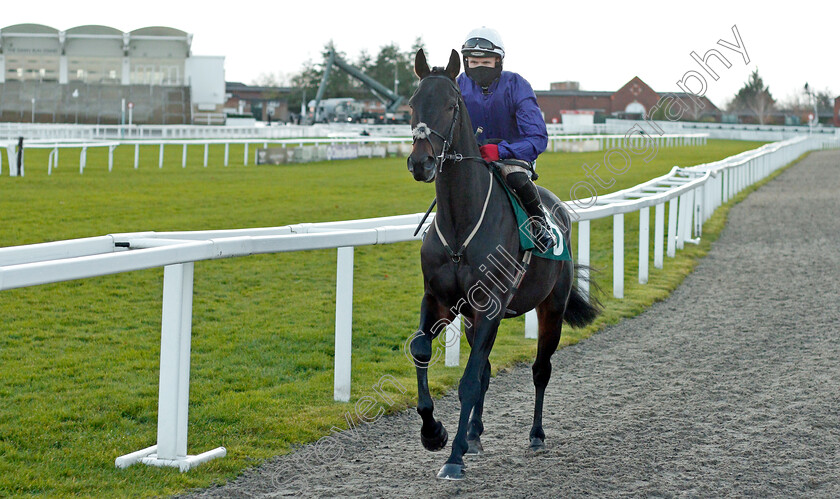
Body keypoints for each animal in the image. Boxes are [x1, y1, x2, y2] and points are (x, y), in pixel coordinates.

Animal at [406, 49, 596, 480]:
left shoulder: (490, 305)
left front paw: (453, 458)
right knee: (487, 371)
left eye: (450, 104)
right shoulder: (440, 301)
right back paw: (474, 434)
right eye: (412, 104)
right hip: (473, 319)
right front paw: (435, 432)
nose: (421, 163)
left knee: (540, 369)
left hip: (551, 307)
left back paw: (536, 436)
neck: (460, 224)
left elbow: (468, 381)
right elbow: (423, 350)